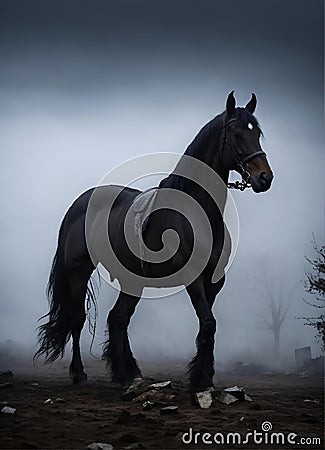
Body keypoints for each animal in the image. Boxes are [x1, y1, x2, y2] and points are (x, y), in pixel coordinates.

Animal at [34, 92, 272, 394]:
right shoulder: (193, 279)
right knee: (78, 320)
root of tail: (79, 204)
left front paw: (205, 377)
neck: (197, 213)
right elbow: (208, 323)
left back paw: (128, 374)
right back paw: (80, 374)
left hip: (132, 280)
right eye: (236, 133)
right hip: (79, 272)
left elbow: (207, 326)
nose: (264, 177)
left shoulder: (214, 282)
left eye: (258, 134)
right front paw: (201, 380)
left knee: (118, 318)